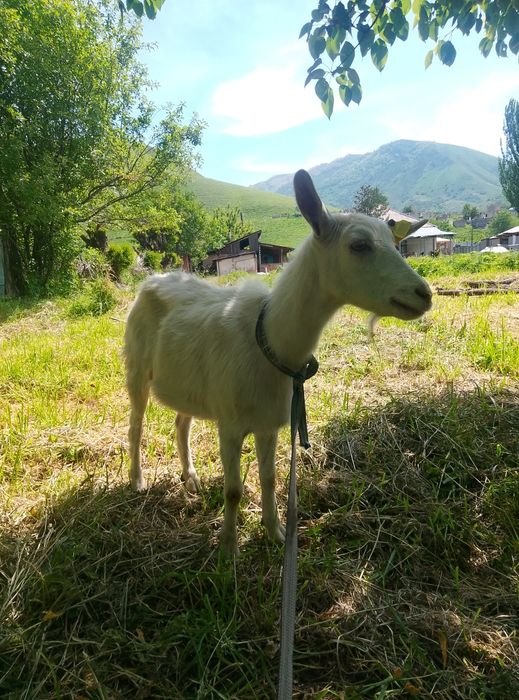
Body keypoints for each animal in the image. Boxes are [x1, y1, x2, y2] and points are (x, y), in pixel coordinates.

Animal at [124, 170, 432, 555]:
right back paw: (137, 480)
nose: (424, 293)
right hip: (136, 367)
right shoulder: (230, 424)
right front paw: (229, 548)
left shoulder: (268, 422)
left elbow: (269, 479)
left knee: (182, 423)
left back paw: (190, 478)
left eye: (395, 243)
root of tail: (152, 280)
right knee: (136, 425)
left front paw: (276, 533)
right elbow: (233, 490)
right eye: (359, 245)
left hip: (191, 383)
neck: (268, 340)